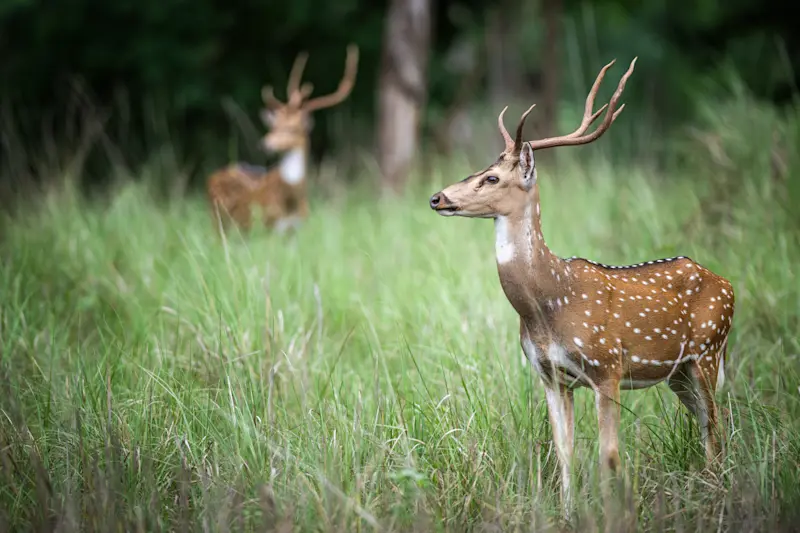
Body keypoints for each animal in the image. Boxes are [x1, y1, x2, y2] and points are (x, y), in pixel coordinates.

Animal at [208, 44, 359, 234]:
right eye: (274, 127)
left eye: (293, 129)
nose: (265, 144)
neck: (290, 202)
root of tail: (213, 175)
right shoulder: (266, 226)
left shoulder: (296, 228)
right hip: (221, 223)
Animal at [428, 58, 735, 516]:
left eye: (492, 178)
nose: (438, 197)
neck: (547, 304)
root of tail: (728, 284)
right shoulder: (550, 376)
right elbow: (564, 451)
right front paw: (568, 513)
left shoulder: (607, 367)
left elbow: (609, 455)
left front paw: (611, 515)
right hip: (678, 372)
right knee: (708, 424)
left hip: (708, 351)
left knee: (714, 427)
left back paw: (717, 496)